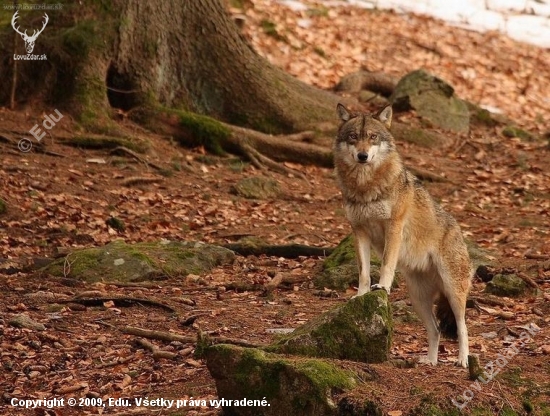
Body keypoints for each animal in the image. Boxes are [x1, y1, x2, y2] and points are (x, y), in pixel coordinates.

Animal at [334, 104, 476, 368]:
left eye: (373, 137)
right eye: (353, 137)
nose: (362, 156)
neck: (365, 186)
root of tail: (460, 232)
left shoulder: (394, 226)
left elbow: (386, 264)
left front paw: (382, 287)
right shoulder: (359, 231)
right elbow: (364, 272)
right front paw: (360, 296)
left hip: (453, 292)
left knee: (463, 327)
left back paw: (463, 361)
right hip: (418, 299)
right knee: (435, 330)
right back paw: (430, 361)